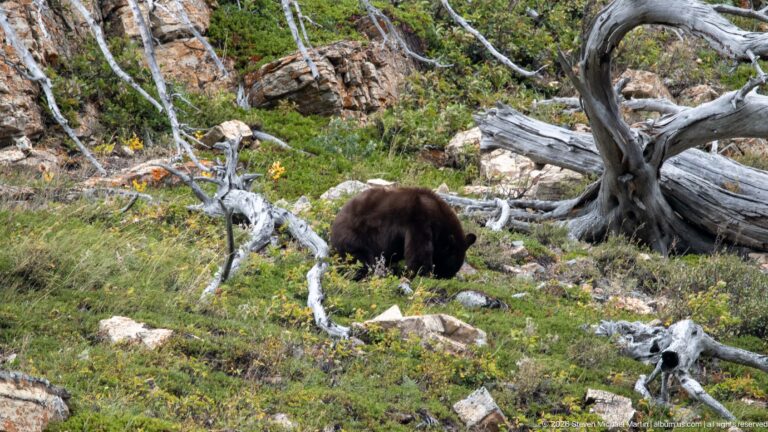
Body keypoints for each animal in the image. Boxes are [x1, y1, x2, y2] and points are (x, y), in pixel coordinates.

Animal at [330, 187, 476, 279]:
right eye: (451, 263)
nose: (447, 276)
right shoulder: (419, 221)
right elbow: (419, 251)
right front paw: (421, 272)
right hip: (355, 237)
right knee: (361, 260)